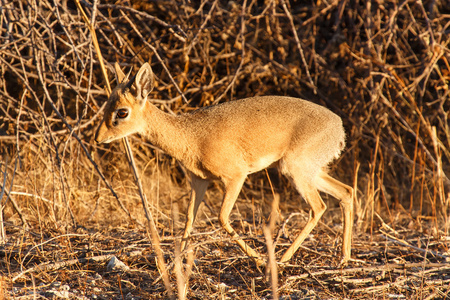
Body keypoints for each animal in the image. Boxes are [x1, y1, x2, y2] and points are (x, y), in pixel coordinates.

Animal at [96, 62, 356, 266]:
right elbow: (189, 219)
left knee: (319, 206)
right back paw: (343, 258)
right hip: (311, 172)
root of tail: (339, 127)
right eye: (107, 103)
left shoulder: (235, 177)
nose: (98, 138)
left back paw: (282, 259)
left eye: (122, 112)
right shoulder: (199, 181)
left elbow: (222, 218)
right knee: (346, 191)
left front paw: (258, 259)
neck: (191, 136)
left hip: (295, 171)